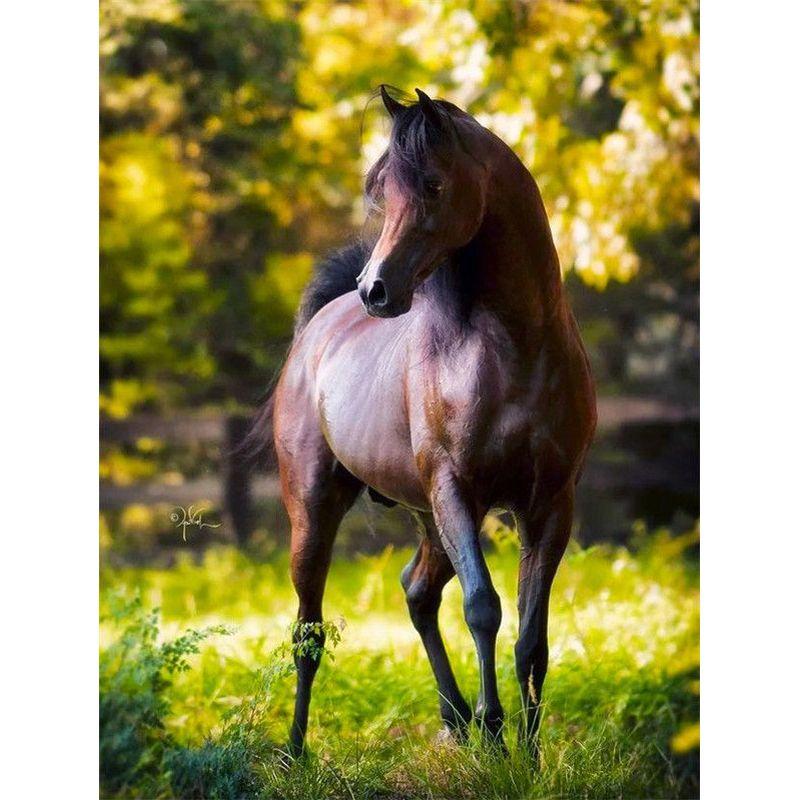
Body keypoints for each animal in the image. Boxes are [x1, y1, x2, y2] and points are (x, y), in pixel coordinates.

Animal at [257, 86, 596, 759]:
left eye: (434, 185)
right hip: (318, 511)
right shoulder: (456, 489)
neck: (513, 348)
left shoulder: (550, 504)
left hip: (428, 518)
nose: (376, 290)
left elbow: (532, 637)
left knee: (417, 592)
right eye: (382, 189)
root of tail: (317, 334)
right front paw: (496, 734)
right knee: (309, 630)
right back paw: (295, 749)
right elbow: (484, 606)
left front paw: (528, 753)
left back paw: (455, 717)